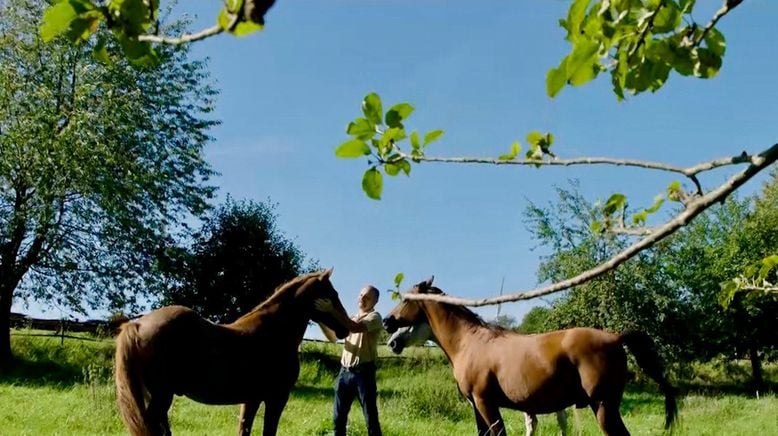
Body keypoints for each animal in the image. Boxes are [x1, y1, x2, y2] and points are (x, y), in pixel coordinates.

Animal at [113, 268, 350, 434]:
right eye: (331, 294)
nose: (345, 329)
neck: (275, 331)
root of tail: (138, 324)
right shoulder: (276, 398)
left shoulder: (251, 400)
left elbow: (244, 429)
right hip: (161, 395)